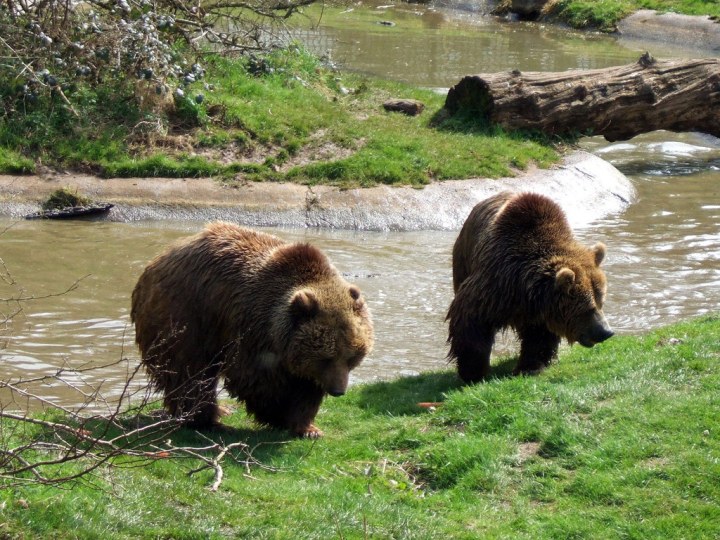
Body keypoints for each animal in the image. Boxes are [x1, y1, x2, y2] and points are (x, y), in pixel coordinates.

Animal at [130, 221, 374, 436]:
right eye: (326, 357)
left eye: (352, 357)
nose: (338, 390)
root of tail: (157, 260)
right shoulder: (251, 327)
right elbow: (254, 379)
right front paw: (279, 414)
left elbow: (306, 386)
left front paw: (307, 427)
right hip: (185, 315)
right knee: (190, 371)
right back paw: (207, 419)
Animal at [448, 192, 612, 382]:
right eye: (587, 308)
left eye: (601, 302)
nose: (606, 331)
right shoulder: (493, 285)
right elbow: (471, 319)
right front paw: (473, 372)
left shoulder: (543, 309)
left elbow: (539, 336)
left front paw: (530, 366)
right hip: (463, 258)